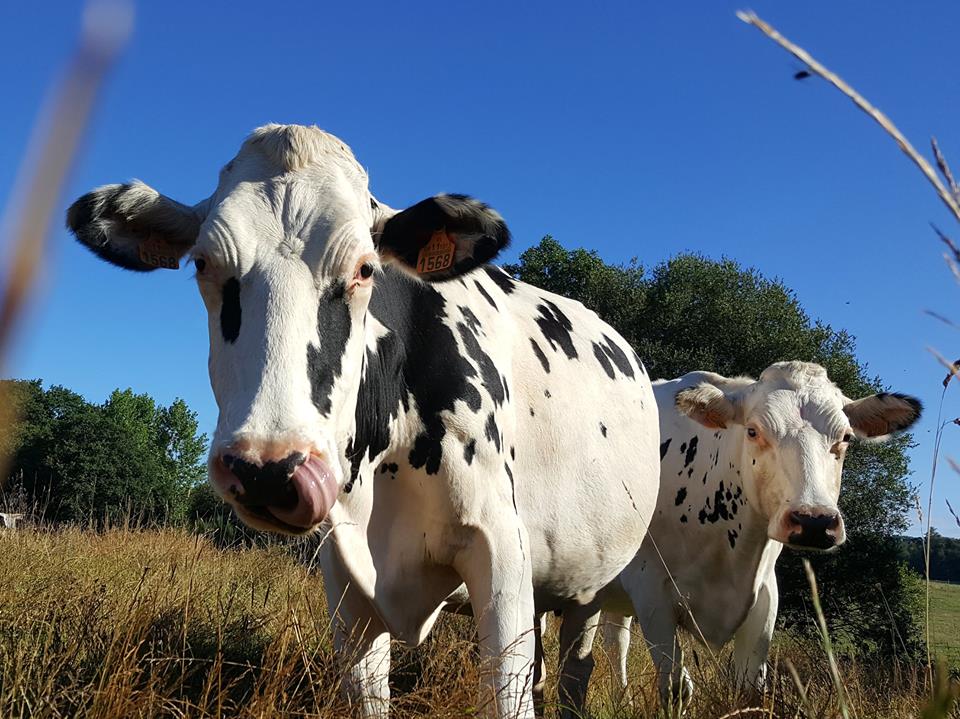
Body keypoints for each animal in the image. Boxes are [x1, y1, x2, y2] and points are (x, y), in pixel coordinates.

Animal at [66, 124, 661, 718]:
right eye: (203, 263)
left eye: (365, 268)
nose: (268, 467)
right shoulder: (345, 576)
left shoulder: (501, 552)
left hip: (588, 589)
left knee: (575, 673)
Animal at [551, 361, 921, 713]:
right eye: (754, 431)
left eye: (845, 437)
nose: (814, 521)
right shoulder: (652, 591)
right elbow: (676, 687)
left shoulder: (765, 595)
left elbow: (749, 687)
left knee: (616, 642)